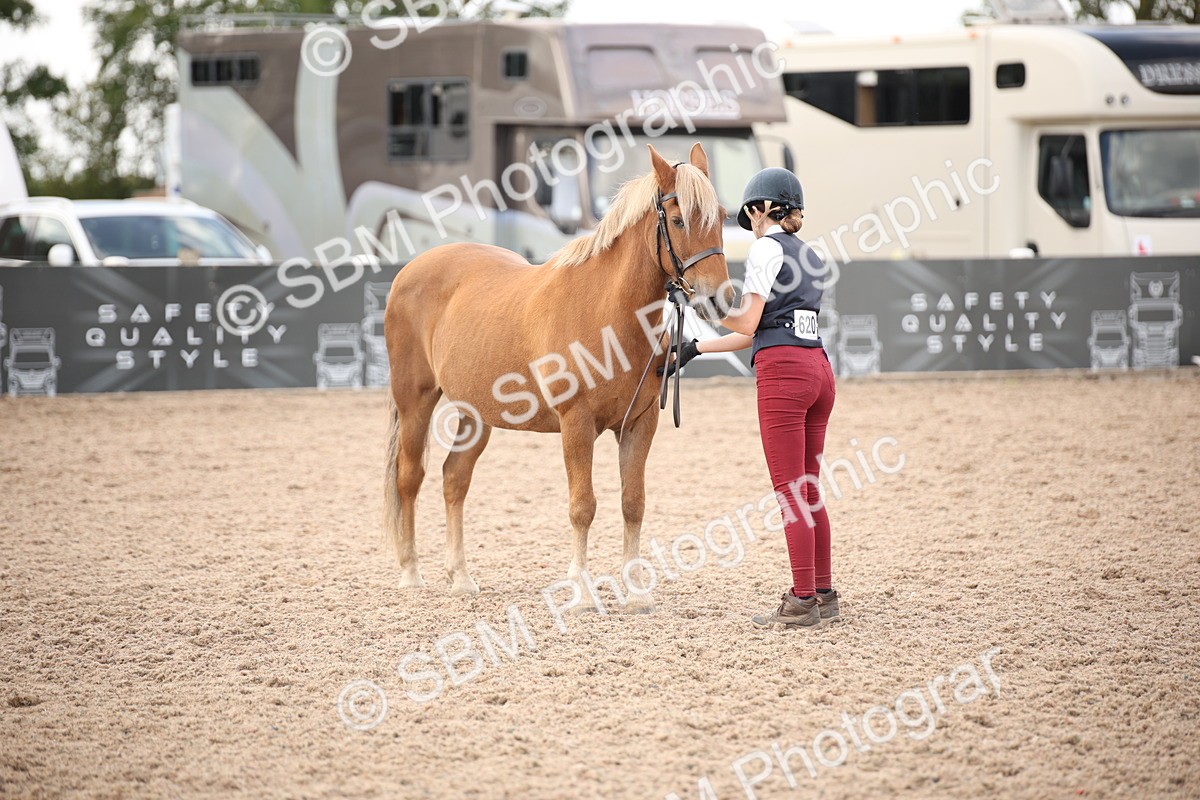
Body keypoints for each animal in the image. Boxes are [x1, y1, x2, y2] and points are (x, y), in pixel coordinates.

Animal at [382, 143, 733, 611]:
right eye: (678, 220)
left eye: (722, 216)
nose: (721, 300)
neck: (607, 312)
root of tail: (410, 270)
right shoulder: (577, 424)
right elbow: (582, 506)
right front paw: (581, 591)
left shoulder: (639, 424)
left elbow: (633, 503)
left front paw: (637, 593)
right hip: (415, 399)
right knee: (410, 477)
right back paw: (410, 572)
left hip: (474, 413)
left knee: (454, 479)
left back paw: (461, 577)